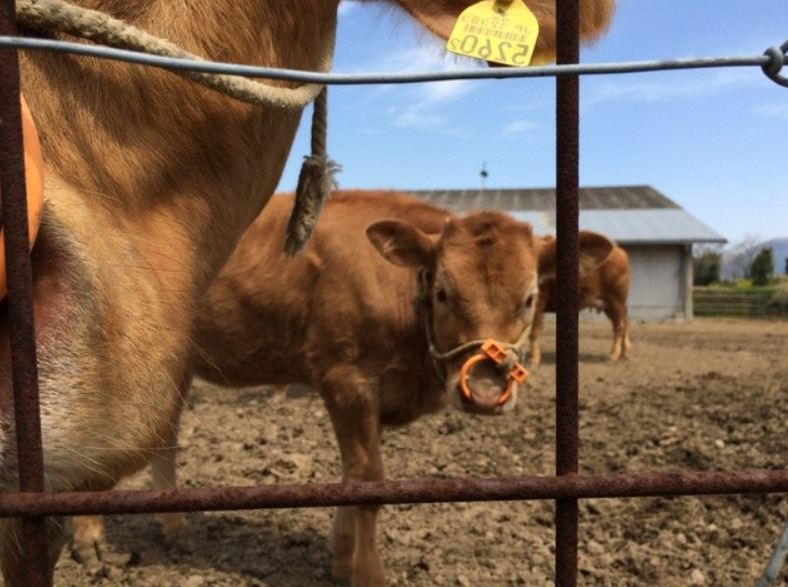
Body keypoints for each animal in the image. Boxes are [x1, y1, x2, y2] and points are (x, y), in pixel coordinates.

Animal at [137, 191, 616, 584]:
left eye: (530, 298)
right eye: (442, 292)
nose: (482, 391)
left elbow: (354, 473)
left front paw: (340, 555)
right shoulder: (346, 379)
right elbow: (369, 481)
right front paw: (366, 573)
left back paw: (173, 526)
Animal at [528, 233, 632, 362]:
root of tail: (618, 250)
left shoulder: (538, 302)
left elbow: (533, 331)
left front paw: (533, 359)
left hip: (616, 300)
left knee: (620, 326)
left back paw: (613, 355)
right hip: (611, 305)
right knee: (624, 324)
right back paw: (624, 353)